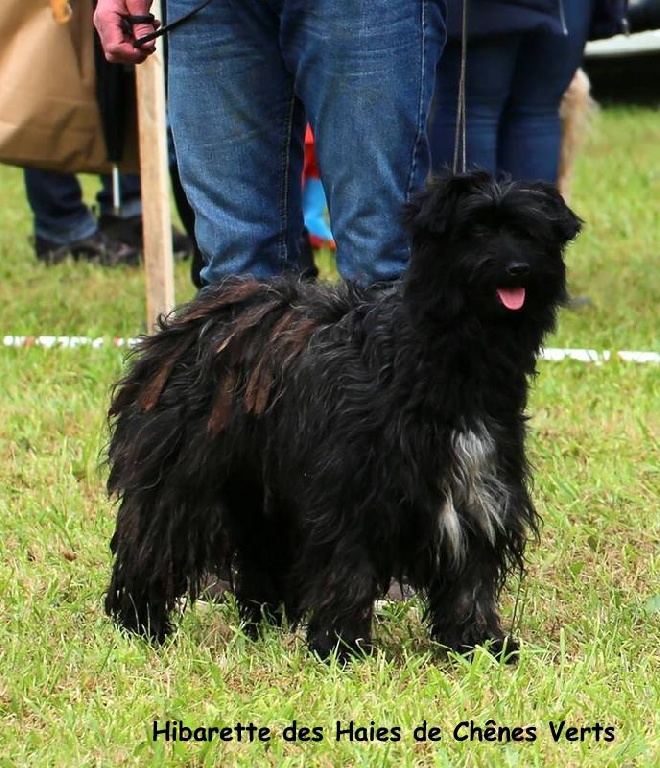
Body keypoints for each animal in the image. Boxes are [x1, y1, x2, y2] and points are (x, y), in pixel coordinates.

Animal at [104, 171, 584, 664]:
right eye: (476, 230)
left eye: (528, 232)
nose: (517, 269)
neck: (437, 356)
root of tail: (198, 323)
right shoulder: (354, 488)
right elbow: (348, 568)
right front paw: (341, 646)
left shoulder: (480, 480)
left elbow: (471, 574)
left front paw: (479, 642)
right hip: (181, 477)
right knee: (153, 541)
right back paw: (140, 623)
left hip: (258, 488)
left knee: (259, 552)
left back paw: (263, 623)